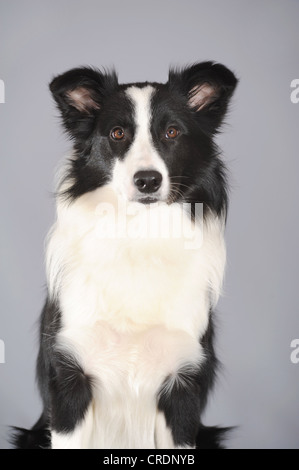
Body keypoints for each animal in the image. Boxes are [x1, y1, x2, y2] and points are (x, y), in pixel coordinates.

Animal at [12, 61, 239, 448]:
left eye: (172, 132)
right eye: (118, 133)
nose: (147, 180)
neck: (139, 234)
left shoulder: (182, 385)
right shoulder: (71, 380)